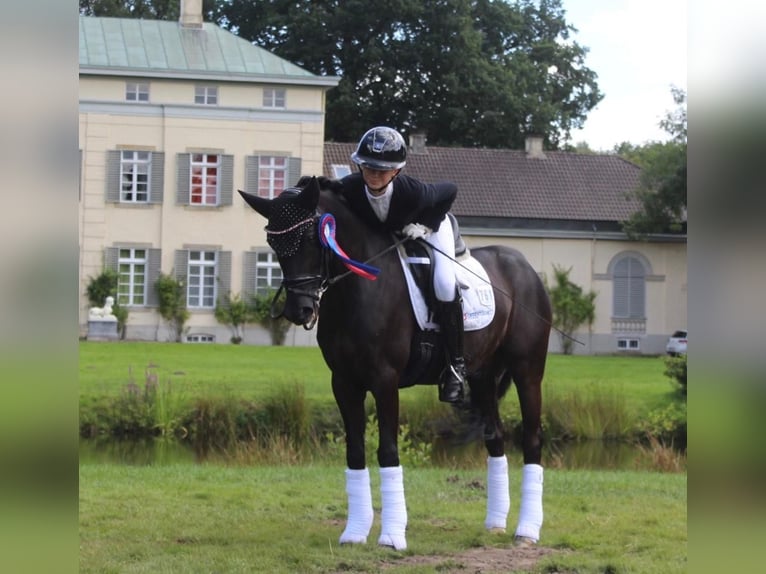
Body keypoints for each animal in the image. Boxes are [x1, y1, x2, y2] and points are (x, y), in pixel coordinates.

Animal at [240, 178, 552, 552]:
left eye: (311, 240)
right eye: (274, 244)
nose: (299, 310)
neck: (359, 288)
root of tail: (524, 266)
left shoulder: (384, 380)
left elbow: (388, 452)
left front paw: (391, 535)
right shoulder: (344, 382)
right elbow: (355, 451)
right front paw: (355, 532)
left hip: (527, 371)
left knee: (532, 439)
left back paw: (527, 530)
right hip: (483, 376)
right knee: (495, 438)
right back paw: (494, 524)